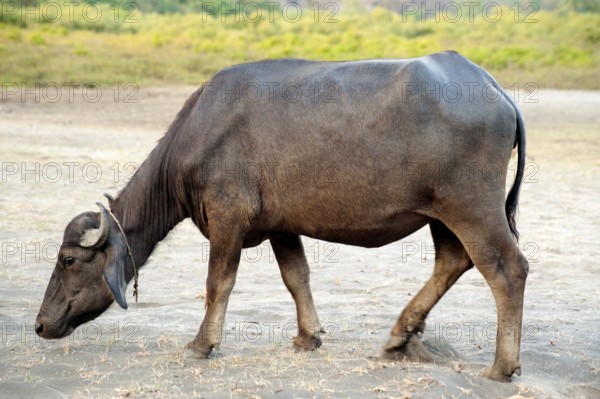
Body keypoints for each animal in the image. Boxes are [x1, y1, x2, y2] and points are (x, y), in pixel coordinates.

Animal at [35, 51, 528, 382]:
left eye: (67, 261)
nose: (40, 324)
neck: (198, 132)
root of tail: (493, 88)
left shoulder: (227, 216)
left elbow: (218, 283)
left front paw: (202, 343)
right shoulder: (280, 227)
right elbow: (297, 276)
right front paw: (308, 335)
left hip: (471, 207)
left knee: (507, 269)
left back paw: (502, 366)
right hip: (442, 214)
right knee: (453, 262)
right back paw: (400, 336)